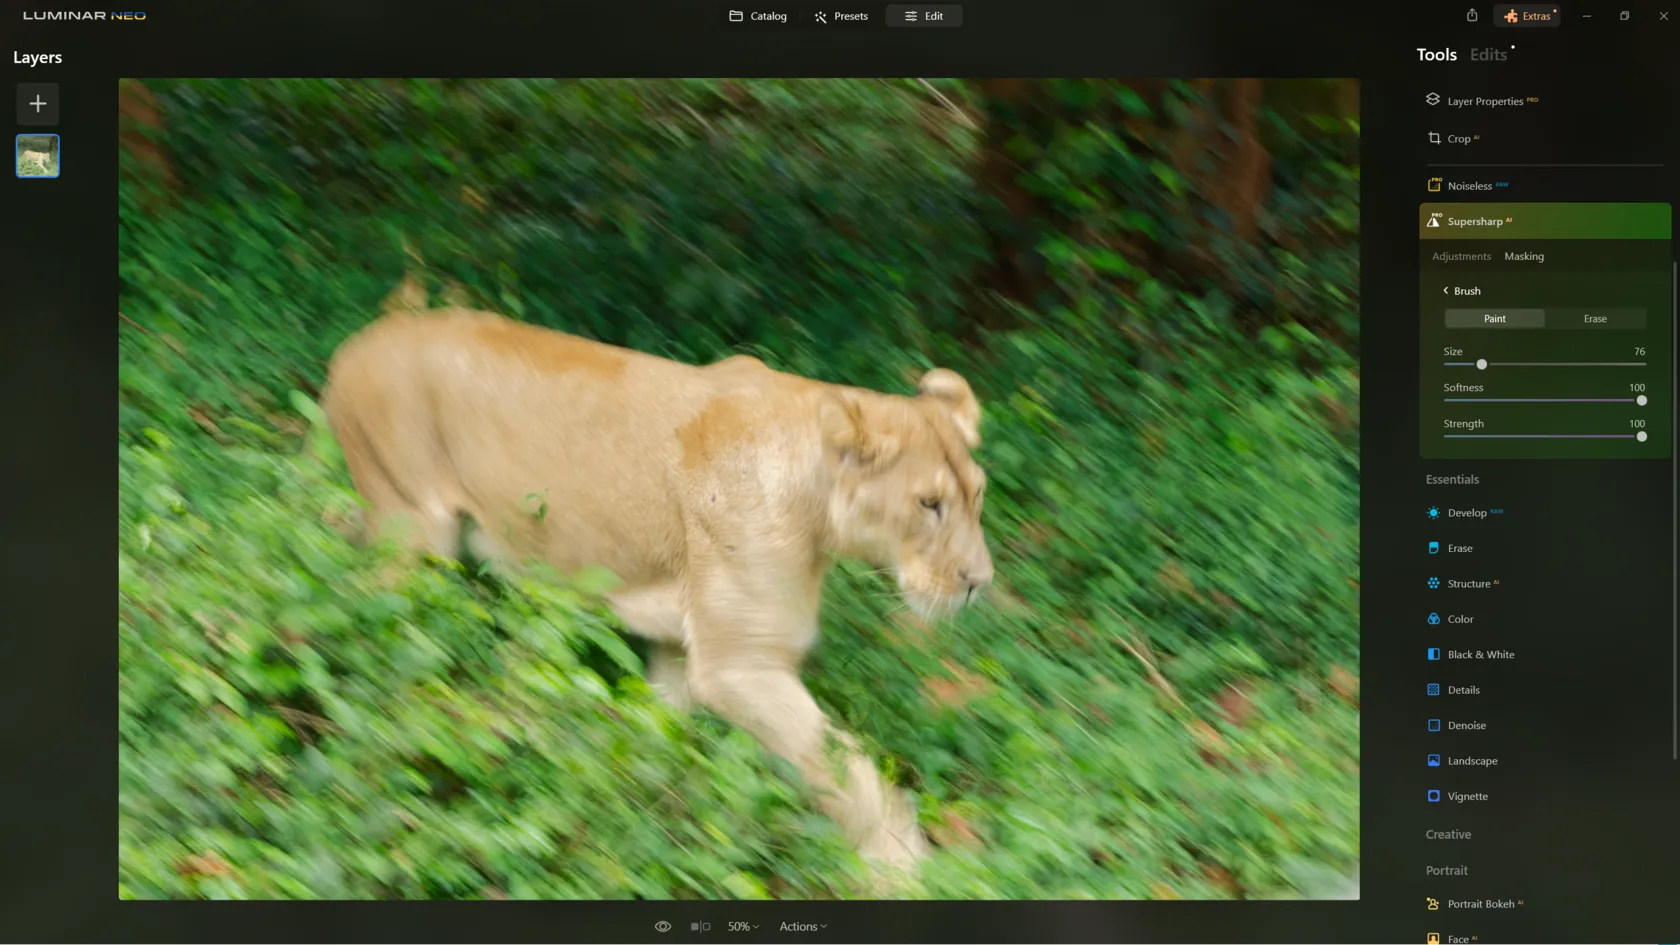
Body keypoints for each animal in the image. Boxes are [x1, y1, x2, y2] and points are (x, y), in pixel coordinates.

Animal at [321, 287, 994, 872]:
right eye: (929, 504)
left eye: (977, 494)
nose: (980, 582)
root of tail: (359, 341)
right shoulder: (741, 666)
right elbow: (851, 774)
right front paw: (907, 869)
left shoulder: (681, 647)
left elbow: (664, 739)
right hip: (415, 526)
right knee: (371, 617)